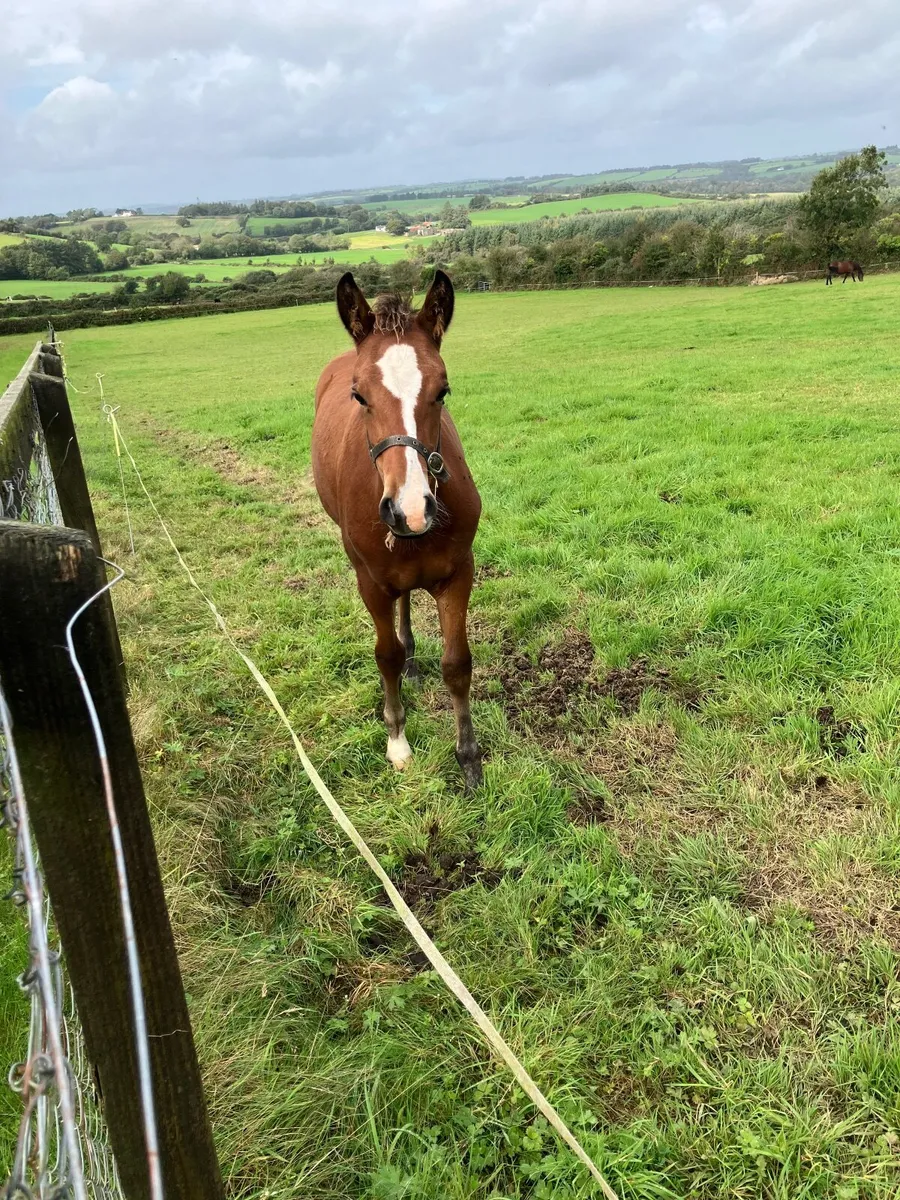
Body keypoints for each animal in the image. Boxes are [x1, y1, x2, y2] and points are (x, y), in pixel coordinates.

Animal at [311, 270, 483, 790]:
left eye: (443, 390)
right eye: (358, 395)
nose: (410, 510)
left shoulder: (458, 573)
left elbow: (457, 663)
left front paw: (468, 756)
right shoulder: (370, 581)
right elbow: (383, 655)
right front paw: (397, 741)